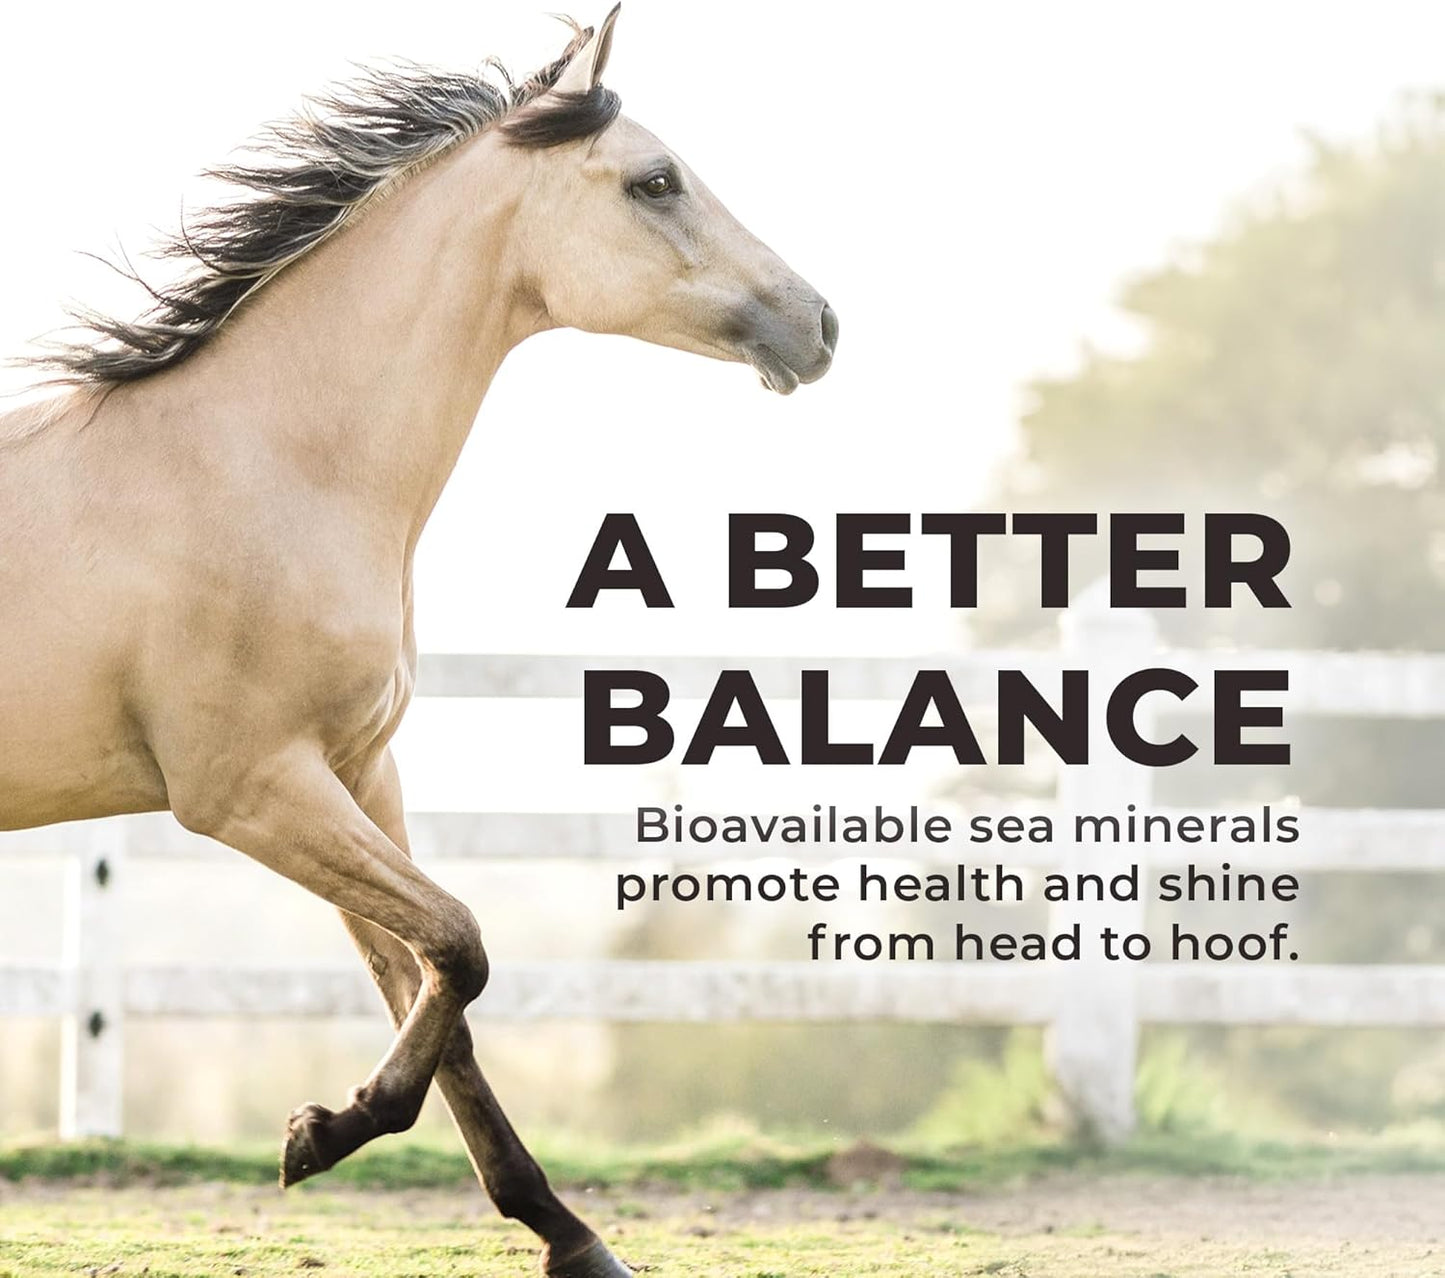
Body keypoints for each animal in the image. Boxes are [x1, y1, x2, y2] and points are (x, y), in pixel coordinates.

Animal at [0, 8, 834, 1275]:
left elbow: (435, 992)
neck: (267, 464)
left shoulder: (352, 772)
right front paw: (321, 1133)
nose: (819, 323)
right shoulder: (251, 789)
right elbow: (465, 942)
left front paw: (567, 1235)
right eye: (655, 180)